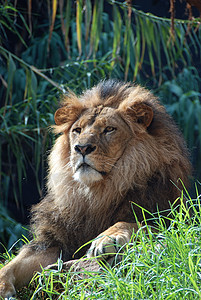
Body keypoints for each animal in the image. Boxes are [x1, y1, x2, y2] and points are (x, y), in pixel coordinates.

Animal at [0, 79, 192, 298]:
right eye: (77, 130)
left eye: (109, 129)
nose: (82, 148)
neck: (96, 193)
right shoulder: (53, 241)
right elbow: (14, 263)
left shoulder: (172, 220)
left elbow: (133, 223)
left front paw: (106, 240)